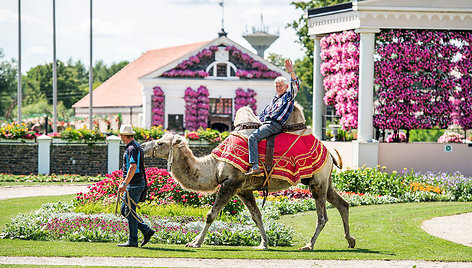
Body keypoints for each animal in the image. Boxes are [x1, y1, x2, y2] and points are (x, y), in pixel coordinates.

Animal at [142, 103, 356, 251]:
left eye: (161, 143)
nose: (143, 146)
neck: (214, 166)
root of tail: (328, 151)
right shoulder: (243, 189)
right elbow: (256, 215)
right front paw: (264, 243)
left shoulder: (231, 183)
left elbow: (211, 214)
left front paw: (196, 243)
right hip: (322, 180)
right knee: (342, 204)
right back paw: (350, 240)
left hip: (317, 182)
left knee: (322, 216)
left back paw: (309, 245)